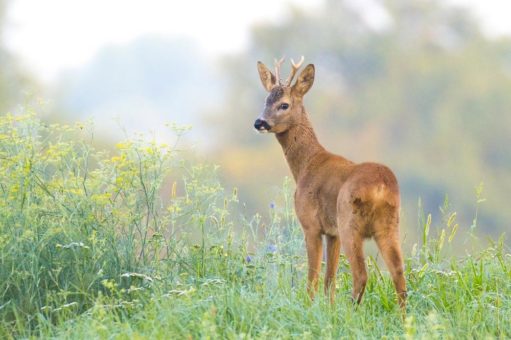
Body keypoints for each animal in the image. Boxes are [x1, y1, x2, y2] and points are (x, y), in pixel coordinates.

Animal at [254, 57, 406, 310]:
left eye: (284, 105)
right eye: (266, 100)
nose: (259, 122)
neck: (306, 165)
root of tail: (381, 187)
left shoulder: (311, 225)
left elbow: (313, 276)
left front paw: (309, 307)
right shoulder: (332, 232)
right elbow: (330, 278)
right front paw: (329, 309)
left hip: (350, 222)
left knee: (361, 275)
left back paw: (352, 312)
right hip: (389, 225)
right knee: (399, 273)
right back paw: (403, 317)